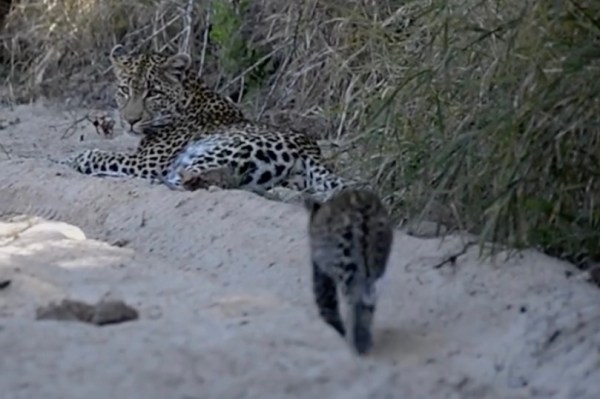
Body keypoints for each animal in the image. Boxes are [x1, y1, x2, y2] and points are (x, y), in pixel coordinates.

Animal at [62, 45, 352, 198]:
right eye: (124, 90)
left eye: (152, 92)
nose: (130, 120)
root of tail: (310, 149)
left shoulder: (146, 162)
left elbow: (101, 154)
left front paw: (73, 159)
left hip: (210, 152)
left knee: (190, 181)